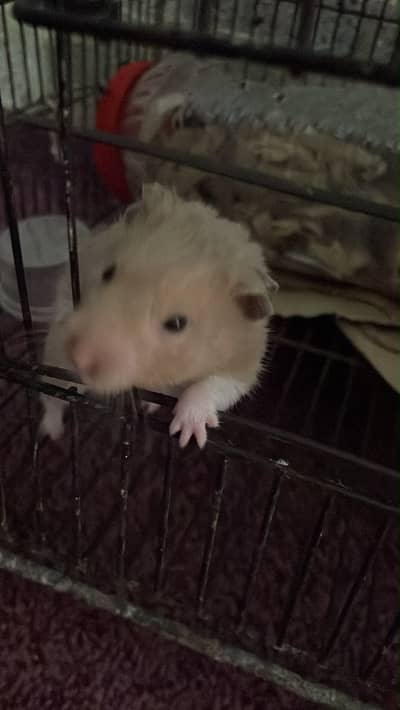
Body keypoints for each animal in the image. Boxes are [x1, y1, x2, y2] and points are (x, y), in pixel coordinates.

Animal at [40, 183, 278, 448]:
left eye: (177, 323)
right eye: (108, 272)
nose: (78, 357)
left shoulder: (244, 363)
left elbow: (213, 385)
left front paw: (188, 434)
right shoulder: (81, 259)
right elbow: (64, 294)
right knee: (52, 398)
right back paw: (53, 435)